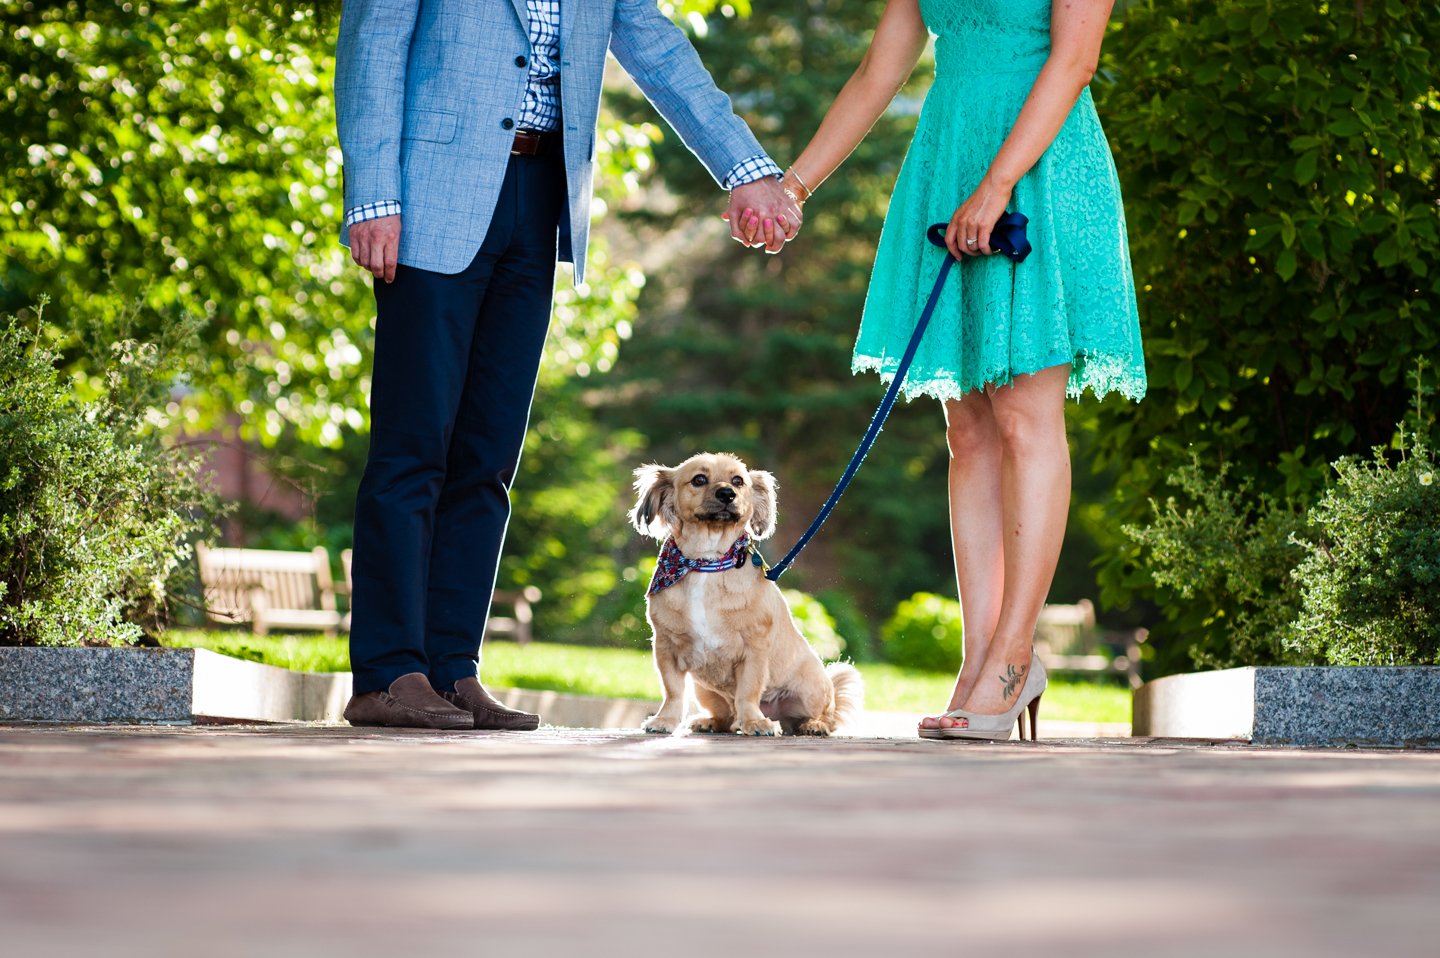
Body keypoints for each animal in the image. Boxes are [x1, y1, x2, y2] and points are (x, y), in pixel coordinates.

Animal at [624, 452, 858, 734]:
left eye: (738, 481)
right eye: (699, 479)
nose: (727, 493)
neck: (707, 563)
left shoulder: (753, 648)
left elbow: (748, 690)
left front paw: (755, 721)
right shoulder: (666, 646)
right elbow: (673, 691)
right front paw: (665, 720)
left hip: (811, 687)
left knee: (825, 717)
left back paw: (813, 725)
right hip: (704, 691)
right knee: (727, 716)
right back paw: (710, 721)